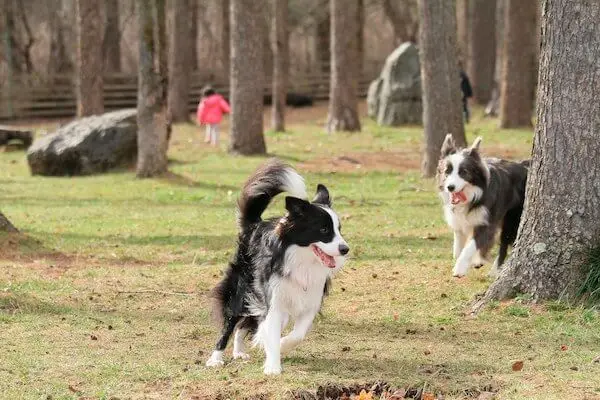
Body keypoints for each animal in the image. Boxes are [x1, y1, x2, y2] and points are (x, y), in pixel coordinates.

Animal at [205, 159, 346, 376]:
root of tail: (254, 225)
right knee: (229, 325)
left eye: (339, 230)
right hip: (241, 292)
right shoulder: (273, 301)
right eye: (323, 230)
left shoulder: (309, 301)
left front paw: (282, 345)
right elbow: (269, 330)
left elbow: (297, 334)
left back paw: (239, 351)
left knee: (245, 325)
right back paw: (216, 358)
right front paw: (272, 367)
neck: (301, 260)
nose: (345, 249)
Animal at [436, 134, 528, 278]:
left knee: (504, 243)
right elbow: (458, 247)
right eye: (447, 172)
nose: (450, 187)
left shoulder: (486, 222)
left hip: (512, 218)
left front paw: (460, 268)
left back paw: (495, 270)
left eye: (463, 172)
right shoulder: (459, 222)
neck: (473, 194)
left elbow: (471, 246)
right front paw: (472, 260)